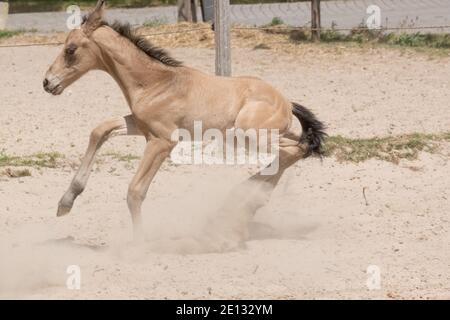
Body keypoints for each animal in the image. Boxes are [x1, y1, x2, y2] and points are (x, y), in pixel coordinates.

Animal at [43, 0, 324, 240]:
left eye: (70, 49)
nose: (47, 82)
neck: (156, 83)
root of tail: (287, 103)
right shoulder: (142, 126)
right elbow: (100, 130)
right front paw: (66, 201)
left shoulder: (163, 140)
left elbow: (135, 191)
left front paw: (138, 244)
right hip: (250, 136)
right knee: (299, 147)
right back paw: (245, 200)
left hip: (249, 135)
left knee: (293, 150)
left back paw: (244, 201)